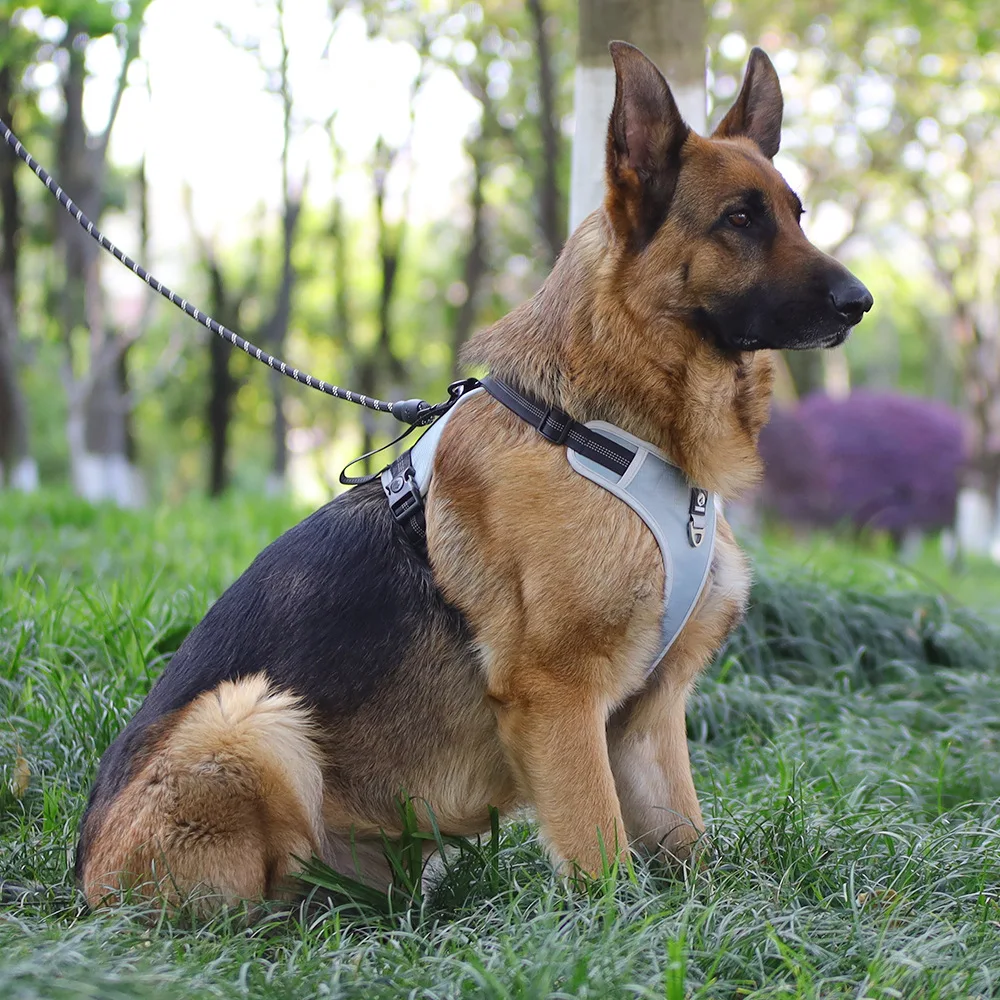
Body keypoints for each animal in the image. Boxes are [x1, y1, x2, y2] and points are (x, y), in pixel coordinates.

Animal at [76, 43, 868, 912]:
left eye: (796, 213)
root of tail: (83, 877)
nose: (860, 302)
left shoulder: (650, 719)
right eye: (740, 219)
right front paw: (617, 925)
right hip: (250, 716)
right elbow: (603, 858)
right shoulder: (558, 698)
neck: (610, 432)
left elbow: (684, 845)